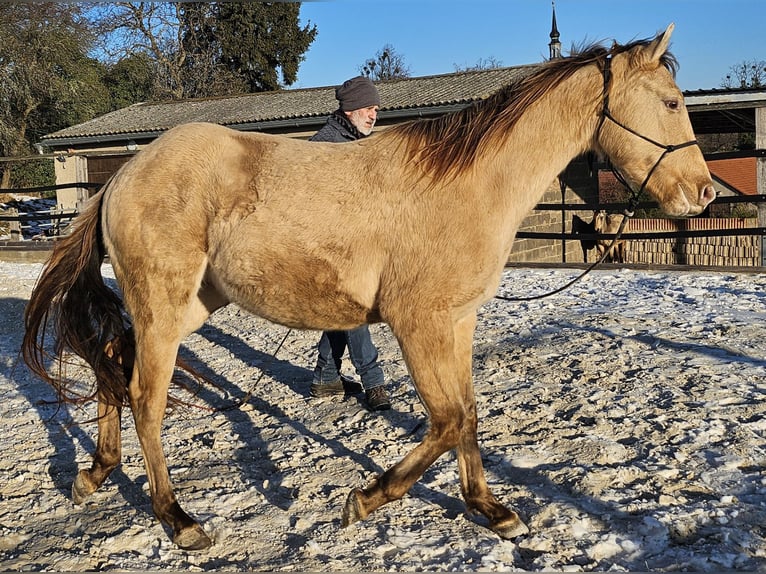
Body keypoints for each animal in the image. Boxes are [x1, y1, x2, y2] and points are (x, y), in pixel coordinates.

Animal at [22, 24, 715, 551]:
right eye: (672, 103)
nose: (704, 193)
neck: (464, 185)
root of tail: (122, 177)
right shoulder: (419, 323)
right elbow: (445, 420)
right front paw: (365, 498)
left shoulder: (456, 323)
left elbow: (467, 415)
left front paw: (490, 510)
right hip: (163, 310)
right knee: (144, 397)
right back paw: (178, 520)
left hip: (184, 308)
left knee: (113, 365)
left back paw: (94, 476)